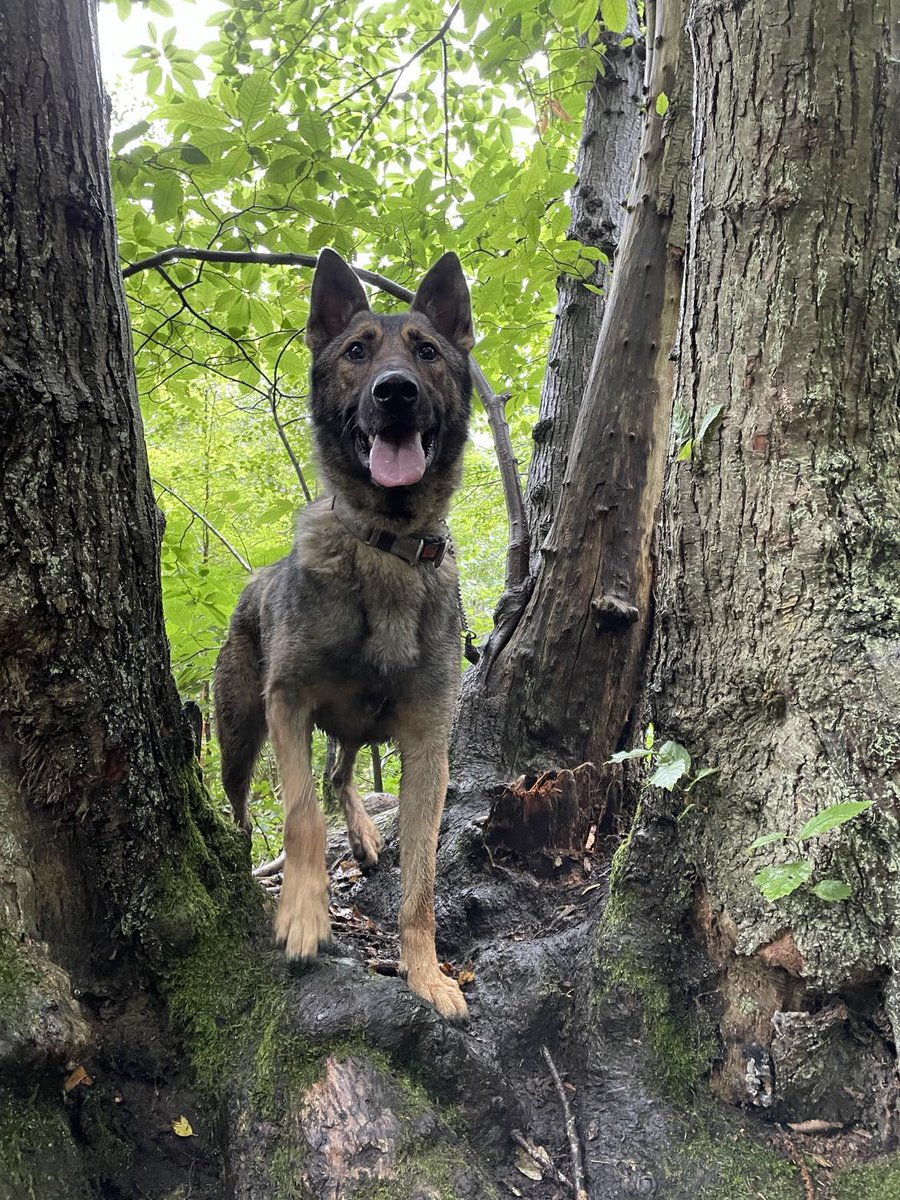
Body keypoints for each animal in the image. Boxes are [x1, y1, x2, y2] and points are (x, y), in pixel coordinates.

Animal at [214, 248, 475, 1017]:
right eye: (358, 351)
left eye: (426, 352)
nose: (396, 392)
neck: (387, 542)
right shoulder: (288, 702)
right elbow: (300, 812)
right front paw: (303, 918)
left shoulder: (426, 744)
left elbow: (422, 879)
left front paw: (426, 974)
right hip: (240, 733)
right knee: (253, 802)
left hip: (362, 723)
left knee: (339, 771)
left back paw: (361, 836)